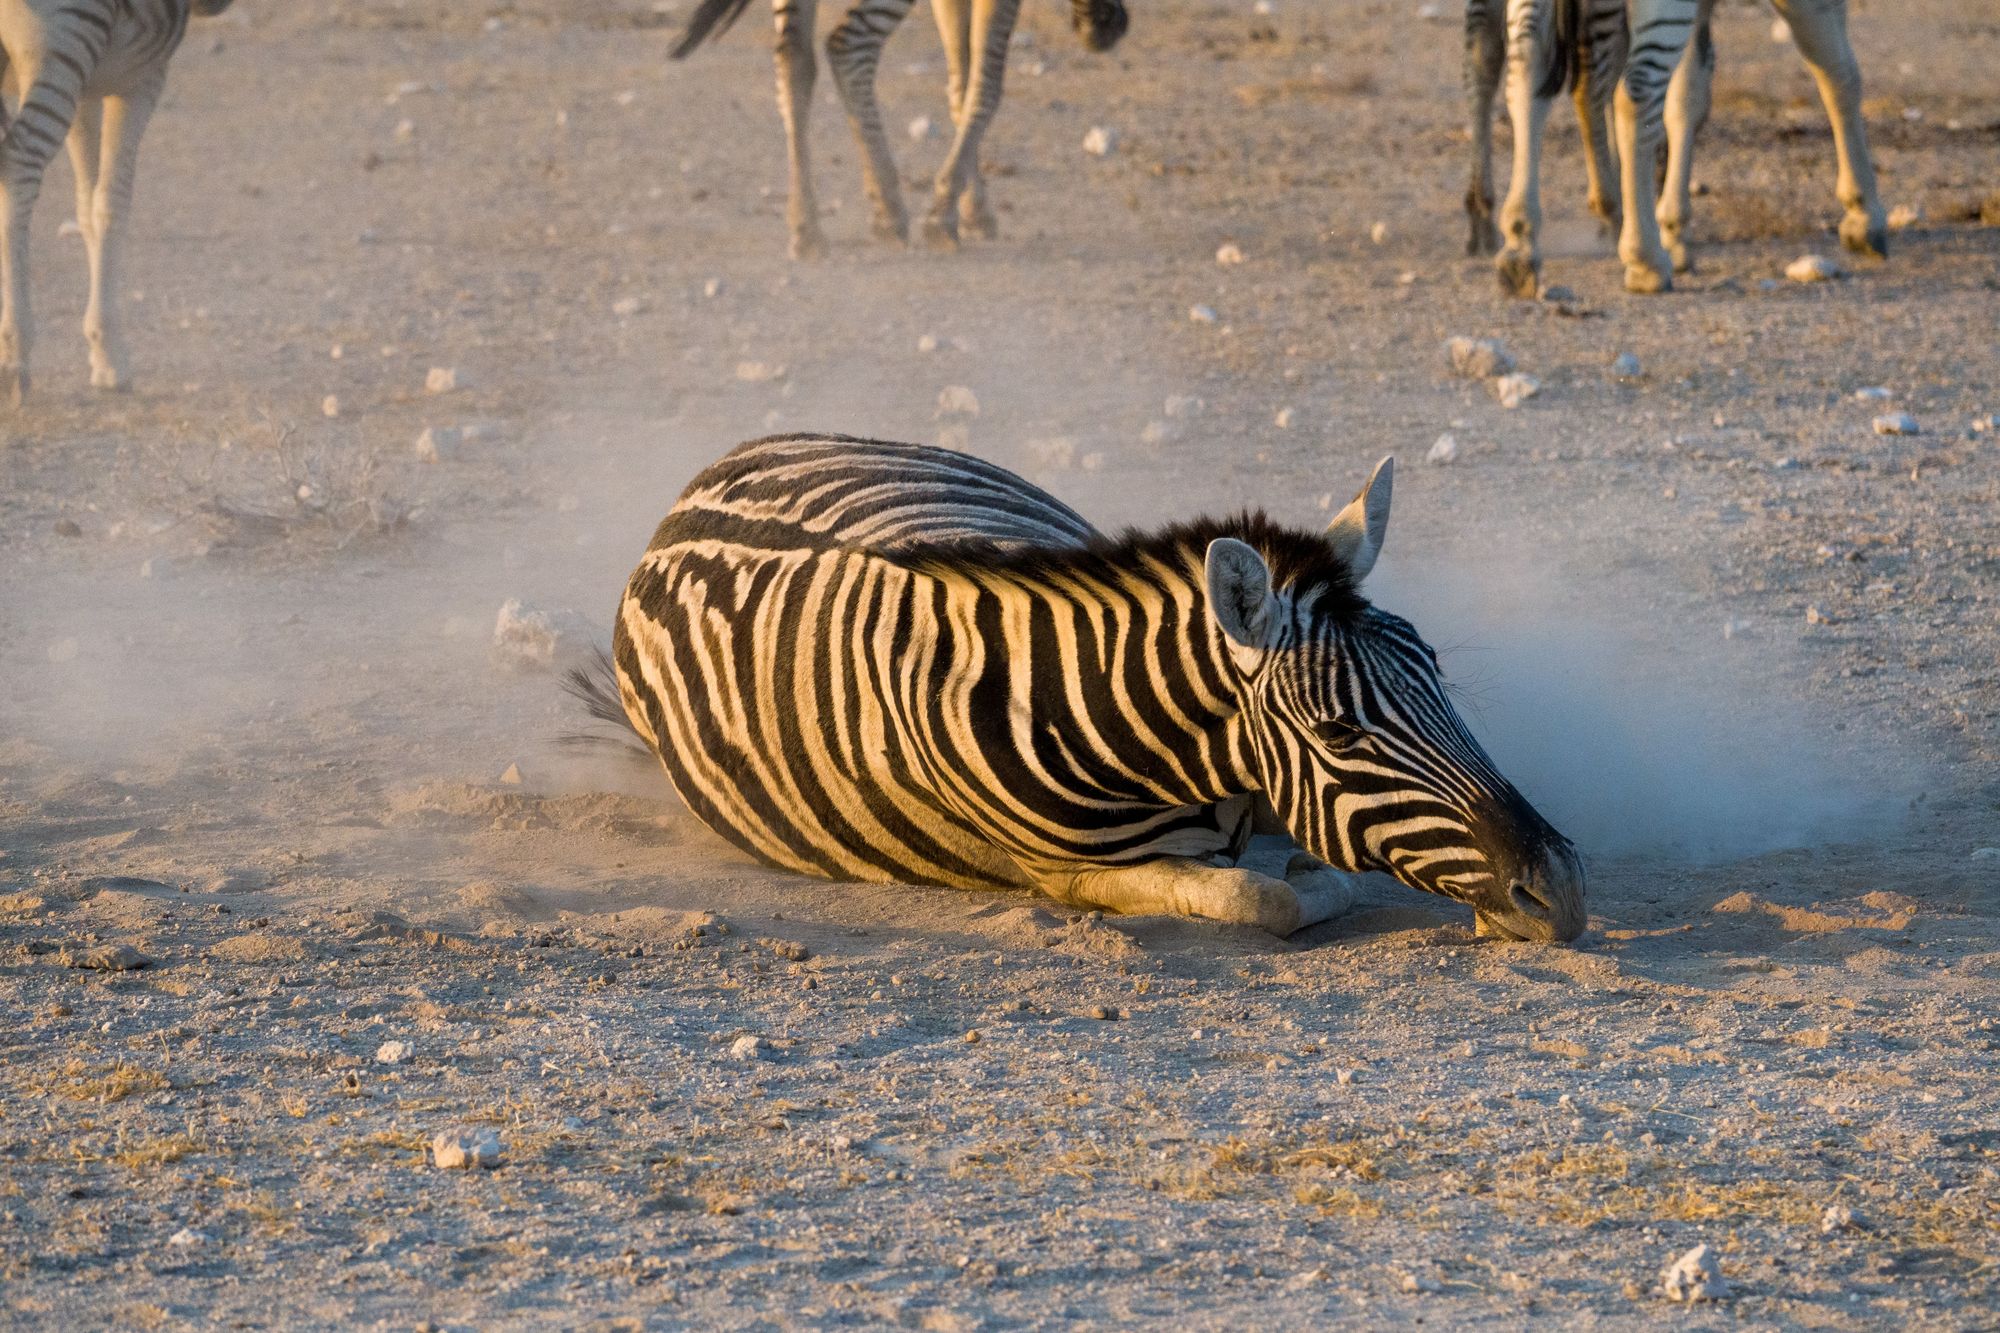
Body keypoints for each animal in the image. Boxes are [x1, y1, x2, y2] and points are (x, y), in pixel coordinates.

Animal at [0, 0, 229, 404]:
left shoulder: (88, 88)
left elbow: (86, 204)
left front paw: (100, 353)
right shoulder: (141, 79)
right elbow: (111, 202)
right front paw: (112, 358)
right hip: (63, 46)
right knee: (19, 164)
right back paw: (15, 358)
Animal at [584, 434, 1584, 932]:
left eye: (1440, 681)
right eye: (1338, 733)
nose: (1564, 889)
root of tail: (678, 508)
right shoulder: (1061, 872)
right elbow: (1263, 897)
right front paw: (1304, 872)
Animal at [668, 0, 1128, 256]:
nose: (1112, 26)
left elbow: (960, 80)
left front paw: (974, 209)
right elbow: (986, 84)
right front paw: (943, 215)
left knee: (793, 58)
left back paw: (808, 226)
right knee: (847, 46)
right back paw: (887, 214)